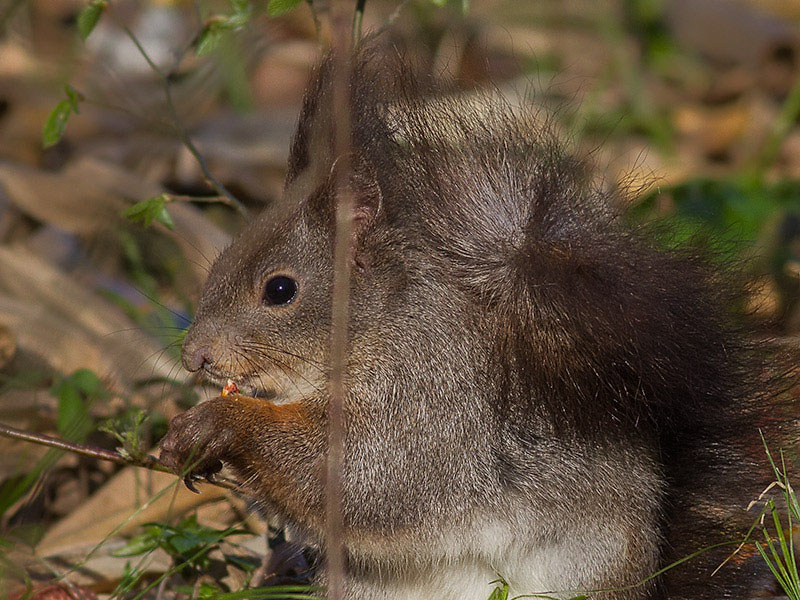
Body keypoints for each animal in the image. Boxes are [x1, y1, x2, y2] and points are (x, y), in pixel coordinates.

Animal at [158, 44, 792, 596]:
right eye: (220, 258)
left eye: (280, 290)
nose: (194, 356)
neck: (377, 325)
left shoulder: (434, 391)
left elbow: (363, 468)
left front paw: (221, 421)